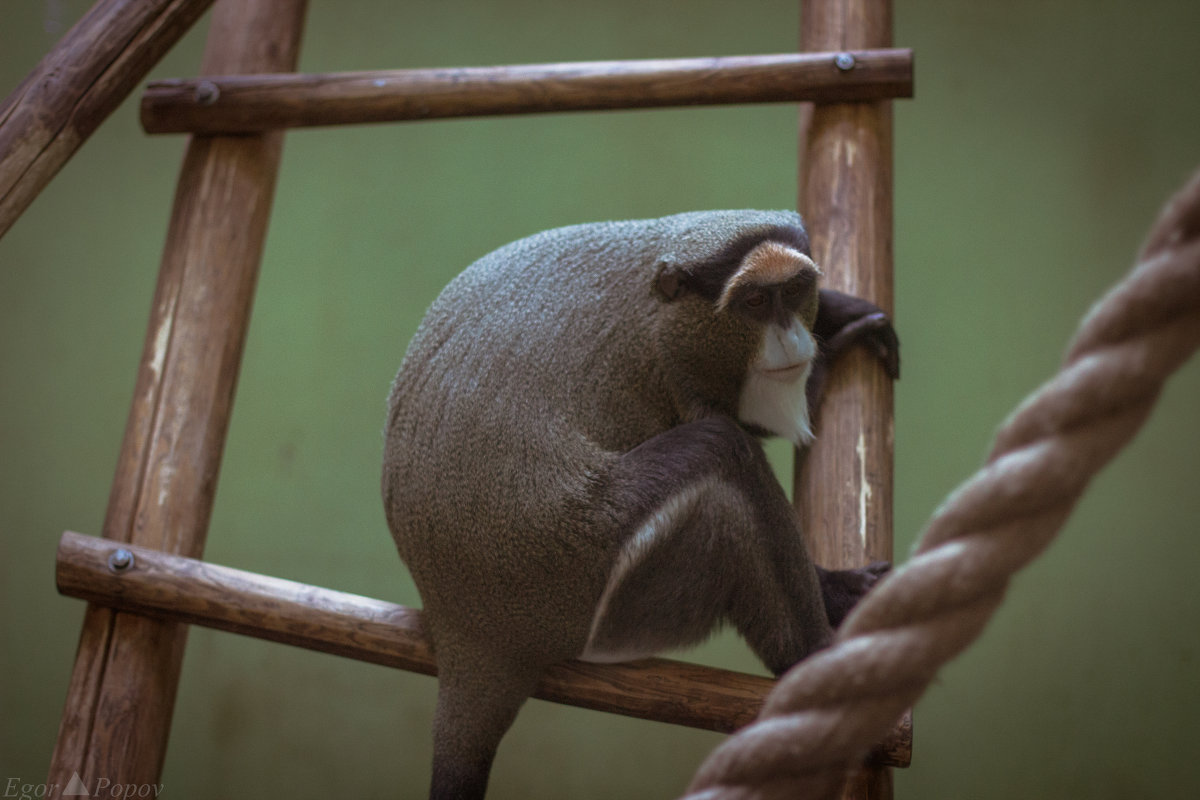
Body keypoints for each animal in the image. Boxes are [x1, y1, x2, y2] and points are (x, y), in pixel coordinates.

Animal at [379, 209, 897, 796]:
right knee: (724, 456)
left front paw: (834, 311)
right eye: (754, 303)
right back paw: (814, 657)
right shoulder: (675, 374)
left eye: (790, 292)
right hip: (605, 594)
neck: (662, 306)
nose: (790, 337)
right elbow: (739, 433)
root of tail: (469, 637)